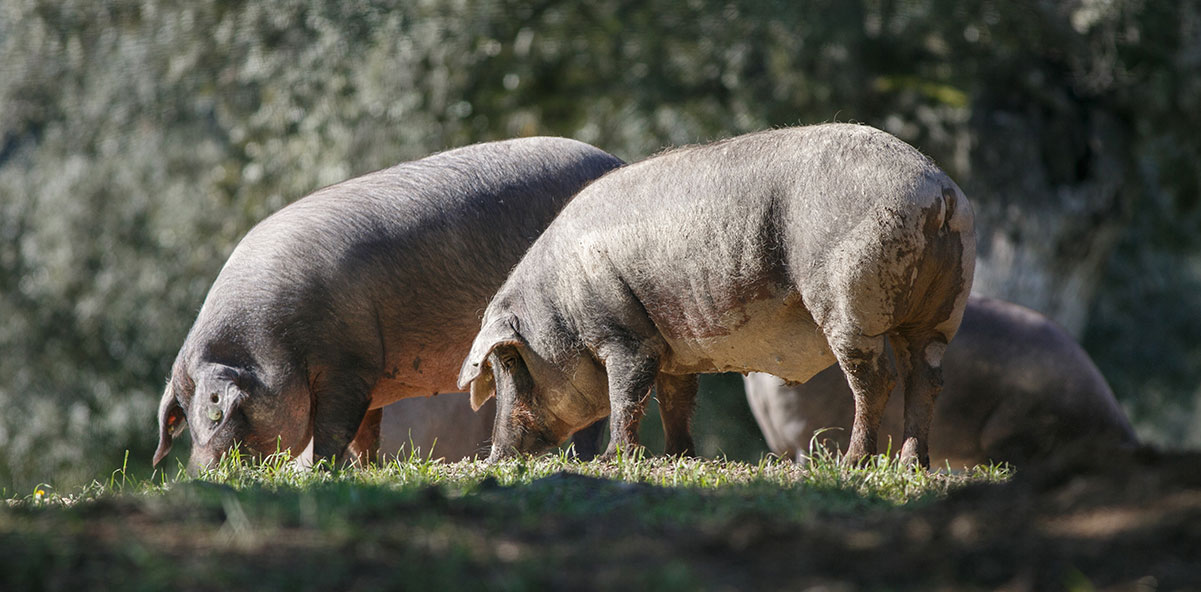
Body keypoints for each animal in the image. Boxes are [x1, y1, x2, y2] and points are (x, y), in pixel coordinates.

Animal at [151, 137, 624, 470]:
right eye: (184, 417)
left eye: (217, 411)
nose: (198, 473)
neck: (273, 340)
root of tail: (615, 162)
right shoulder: (371, 381)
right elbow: (364, 436)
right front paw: (366, 469)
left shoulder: (349, 365)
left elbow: (333, 431)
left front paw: (320, 471)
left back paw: (584, 461)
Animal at [458, 124, 975, 465]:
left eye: (509, 360)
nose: (495, 456)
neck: (560, 304)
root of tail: (939, 193)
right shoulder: (673, 349)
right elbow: (676, 401)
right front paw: (678, 458)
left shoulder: (624, 337)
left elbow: (627, 397)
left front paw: (613, 461)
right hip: (940, 311)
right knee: (926, 379)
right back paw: (911, 464)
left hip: (849, 301)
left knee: (877, 379)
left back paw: (852, 463)